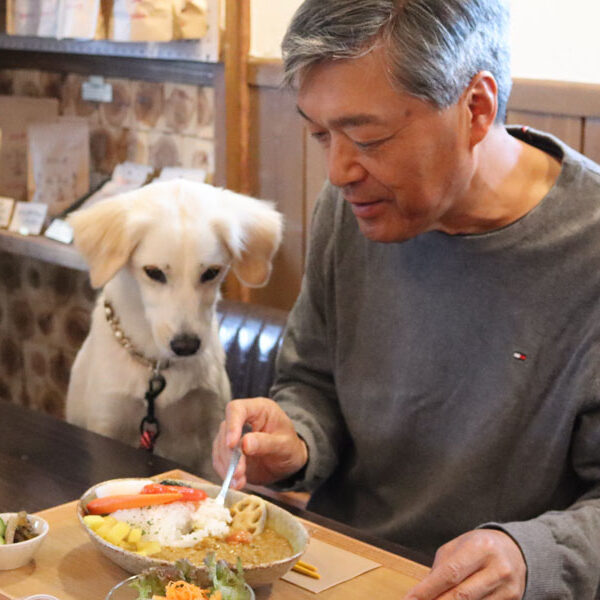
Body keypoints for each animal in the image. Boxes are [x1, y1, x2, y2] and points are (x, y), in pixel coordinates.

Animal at [67, 178, 282, 478]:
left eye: (211, 272)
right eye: (154, 272)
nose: (186, 346)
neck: (156, 364)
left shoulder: (212, 426)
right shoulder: (106, 420)